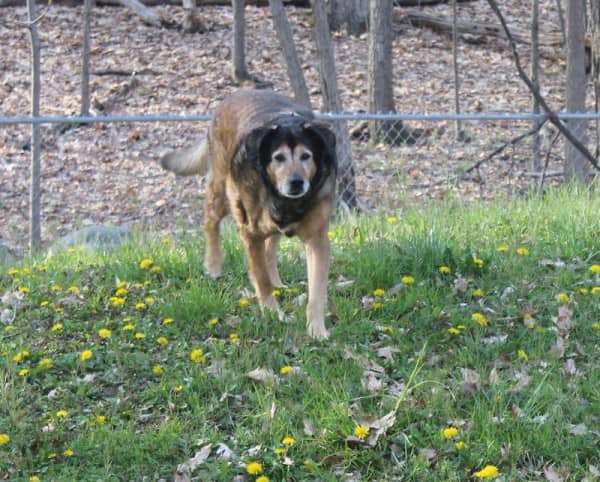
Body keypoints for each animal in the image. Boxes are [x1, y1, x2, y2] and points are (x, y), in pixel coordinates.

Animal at [159, 89, 338, 338]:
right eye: (278, 158)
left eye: (306, 156)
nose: (296, 183)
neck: (284, 200)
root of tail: (234, 95)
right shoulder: (250, 233)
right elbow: (261, 279)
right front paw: (274, 314)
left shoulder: (317, 240)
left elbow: (317, 291)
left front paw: (317, 330)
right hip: (222, 192)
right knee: (210, 221)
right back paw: (213, 265)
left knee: (271, 244)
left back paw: (277, 281)